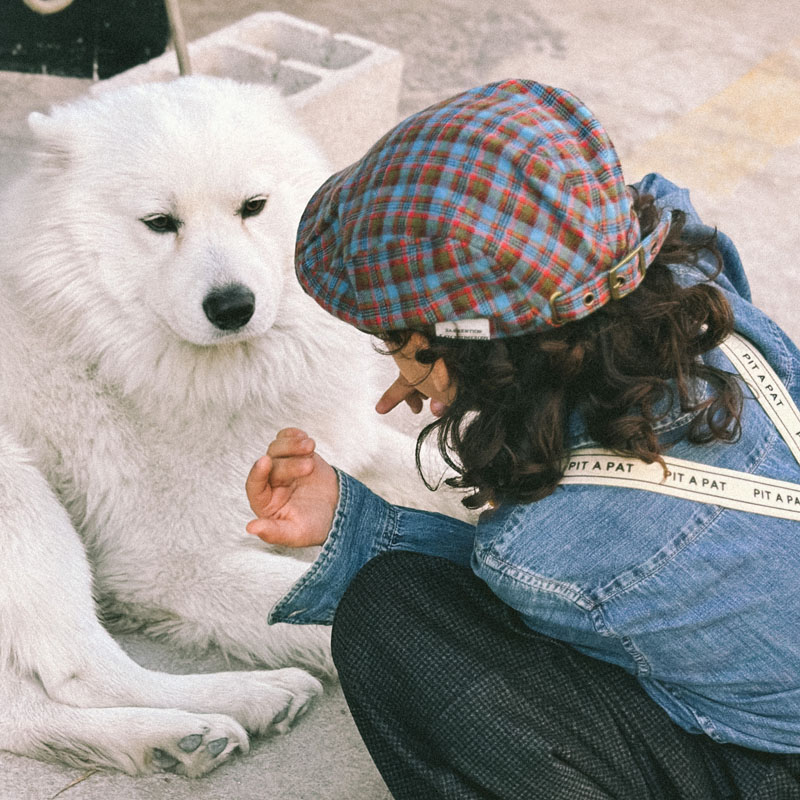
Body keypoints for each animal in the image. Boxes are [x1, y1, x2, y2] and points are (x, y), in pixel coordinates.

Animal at [0, 78, 460, 780]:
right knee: (81, 670)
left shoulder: (349, 450)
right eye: (160, 223)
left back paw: (176, 736)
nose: (233, 306)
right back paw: (235, 702)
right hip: (22, 496)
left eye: (253, 207)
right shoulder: (171, 565)